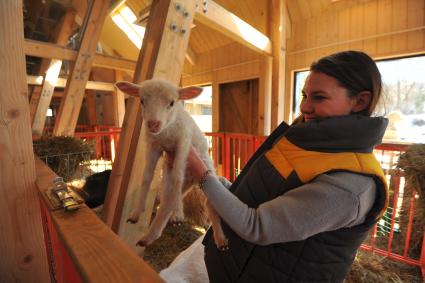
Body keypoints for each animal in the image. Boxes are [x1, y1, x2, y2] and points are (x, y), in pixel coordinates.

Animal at [114, 79, 227, 250]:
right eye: (142, 101)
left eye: (172, 103)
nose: (153, 124)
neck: (165, 133)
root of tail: (193, 180)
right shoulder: (154, 146)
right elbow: (146, 177)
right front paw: (136, 212)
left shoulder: (183, 143)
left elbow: (177, 176)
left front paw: (179, 213)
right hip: (169, 177)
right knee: (166, 202)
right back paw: (148, 237)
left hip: (207, 171)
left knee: (207, 203)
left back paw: (220, 239)